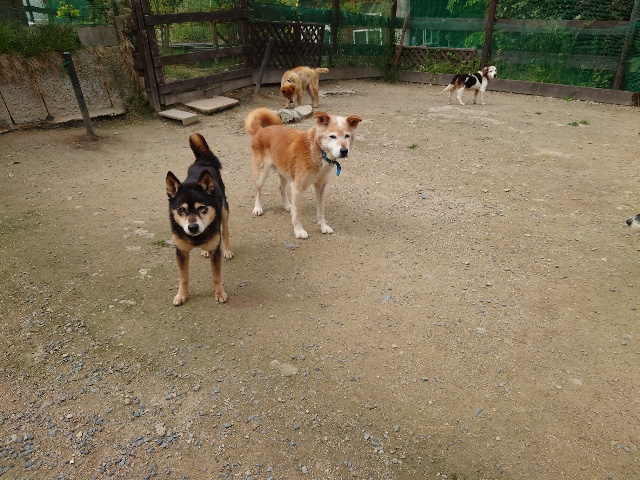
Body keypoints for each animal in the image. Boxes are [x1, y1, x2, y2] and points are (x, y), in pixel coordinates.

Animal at [166, 133, 232, 306]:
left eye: (202, 208)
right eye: (181, 209)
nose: (193, 227)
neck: (197, 238)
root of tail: (203, 160)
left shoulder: (215, 250)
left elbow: (216, 276)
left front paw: (220, 293)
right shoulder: (181, 251)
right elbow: (183, 277)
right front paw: (181, 295)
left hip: (224, 211)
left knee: (226, 231)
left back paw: (227, 250)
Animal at [244, 107, 362, 239]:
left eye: (347, 136)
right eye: (332, 136)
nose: (344, 151)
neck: (318, 151)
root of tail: (261, 129)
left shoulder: (321, 187)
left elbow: (320, 211)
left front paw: (323, 227)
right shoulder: (297, 188)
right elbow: (297, 215)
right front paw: (299, 231)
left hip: (285, 173)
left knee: (281, 188)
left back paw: (288, 206)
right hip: (261, 174)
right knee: (257, 190)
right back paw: (258, 208)